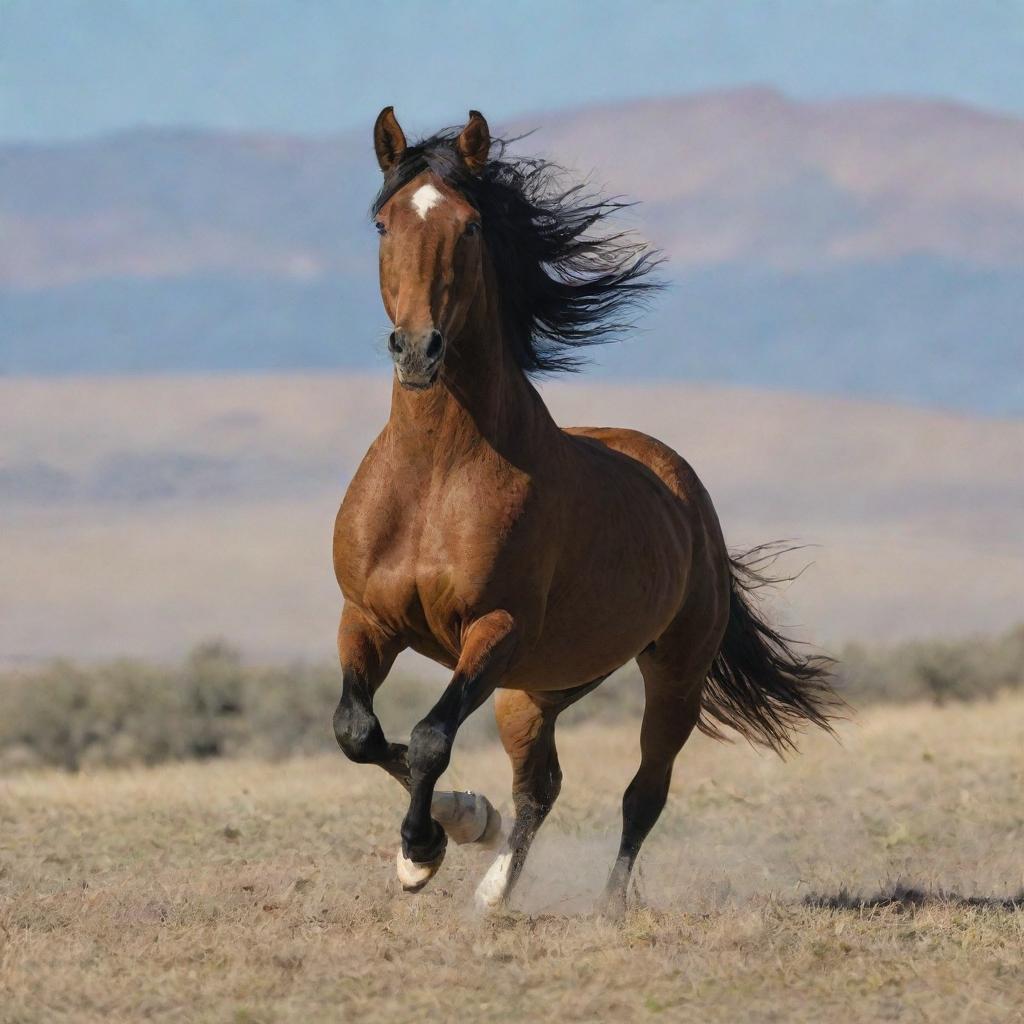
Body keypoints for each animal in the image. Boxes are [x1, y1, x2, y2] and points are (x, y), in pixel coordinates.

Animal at [331, 108, 835, 917]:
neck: (436, 475)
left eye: (471, 225)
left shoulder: (495, 629)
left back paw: (607, 906)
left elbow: (432, 737)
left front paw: (423, 849)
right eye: (384, 223)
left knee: (643, 793)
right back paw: (494, 891)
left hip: (671, 675)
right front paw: (457, 826)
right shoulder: (368, 618)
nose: (417, 351)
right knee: (540, 788)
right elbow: (360, 732)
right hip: (536, 687)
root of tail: (688, 495)